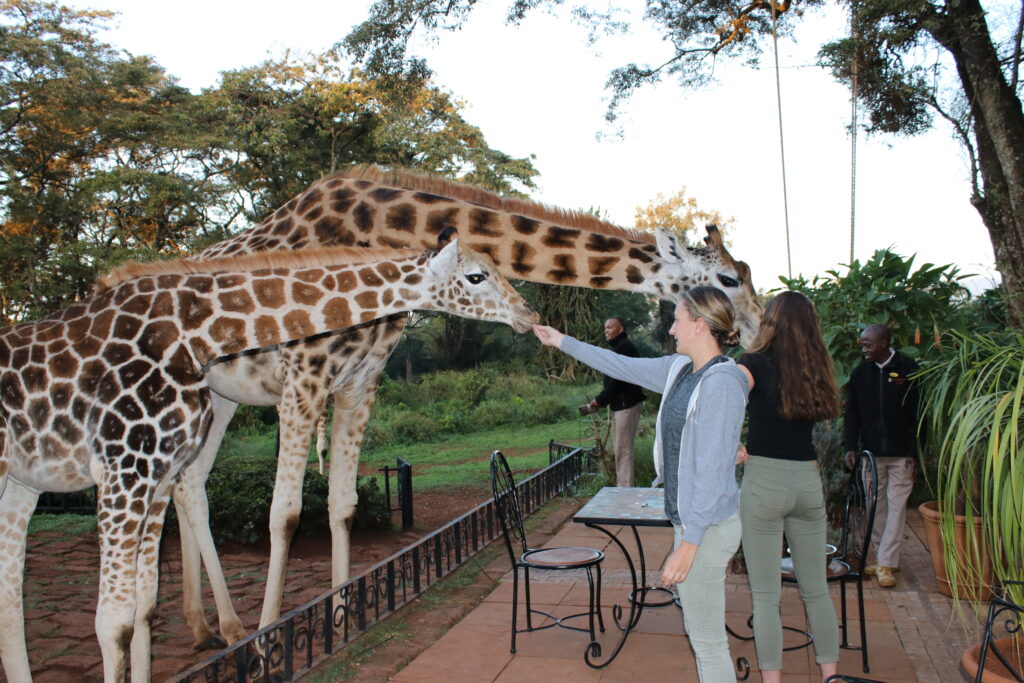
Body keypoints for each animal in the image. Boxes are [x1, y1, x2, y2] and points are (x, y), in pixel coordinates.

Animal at [169, 163, 761, 647]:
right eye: (729, 278)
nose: (756, 330)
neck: (377, 232)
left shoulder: (361, 380)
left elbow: (343, 503)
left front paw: (342, 617)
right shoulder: (304, 375)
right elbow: (287, 513)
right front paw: (270, 644)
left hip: (219, 397)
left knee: (188, 482)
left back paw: (208, 626)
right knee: (184, 484)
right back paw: (229, 629)